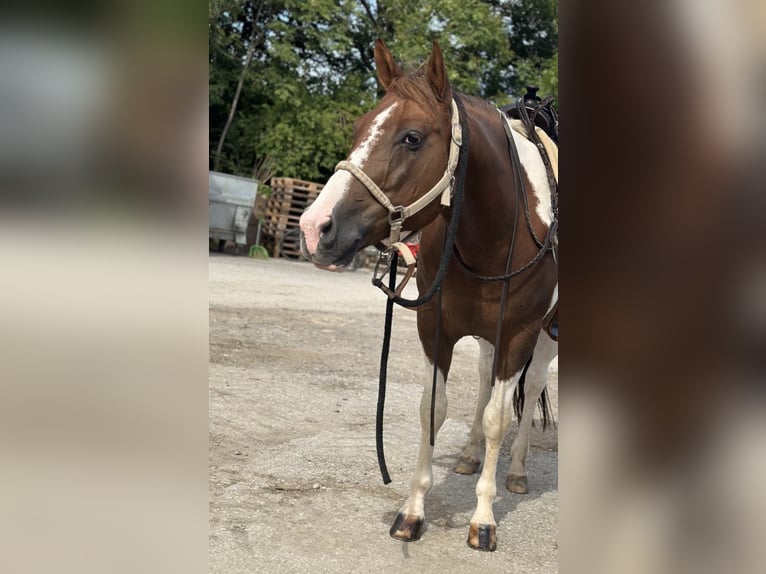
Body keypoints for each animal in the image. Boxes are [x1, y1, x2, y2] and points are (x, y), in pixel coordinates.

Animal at [299, 39, 558, 552]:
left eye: (412, 138)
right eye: (359, 127)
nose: (315, 227)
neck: (495, 235)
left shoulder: (519, 334)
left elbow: (500, 418)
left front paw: (484, 518)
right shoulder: (435, 327)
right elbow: (433, 409)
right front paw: (413, 510)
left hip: (544, 336)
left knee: (533, 385)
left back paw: (517, 471)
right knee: (484, 383)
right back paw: (470, 454)